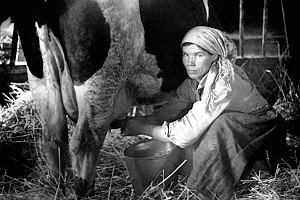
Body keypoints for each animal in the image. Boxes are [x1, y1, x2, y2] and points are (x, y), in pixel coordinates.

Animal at [0, 0, 220, 197]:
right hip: (102, 80)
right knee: (85, 141)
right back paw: (84, 191)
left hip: (41, 78)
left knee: (53, 138)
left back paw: (57, 189)